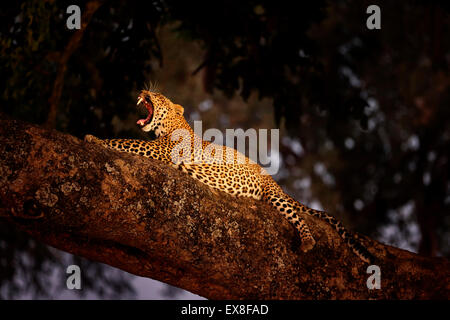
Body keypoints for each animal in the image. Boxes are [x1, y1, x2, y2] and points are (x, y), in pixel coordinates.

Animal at [84, 89, 372, 262]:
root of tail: (272, 179)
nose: (144, 92)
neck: (173, 126)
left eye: (157, 95)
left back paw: (308, 241)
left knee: (296, 215)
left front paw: (93, 138)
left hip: (274, 196)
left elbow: (123, 142)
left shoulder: (158, 150)